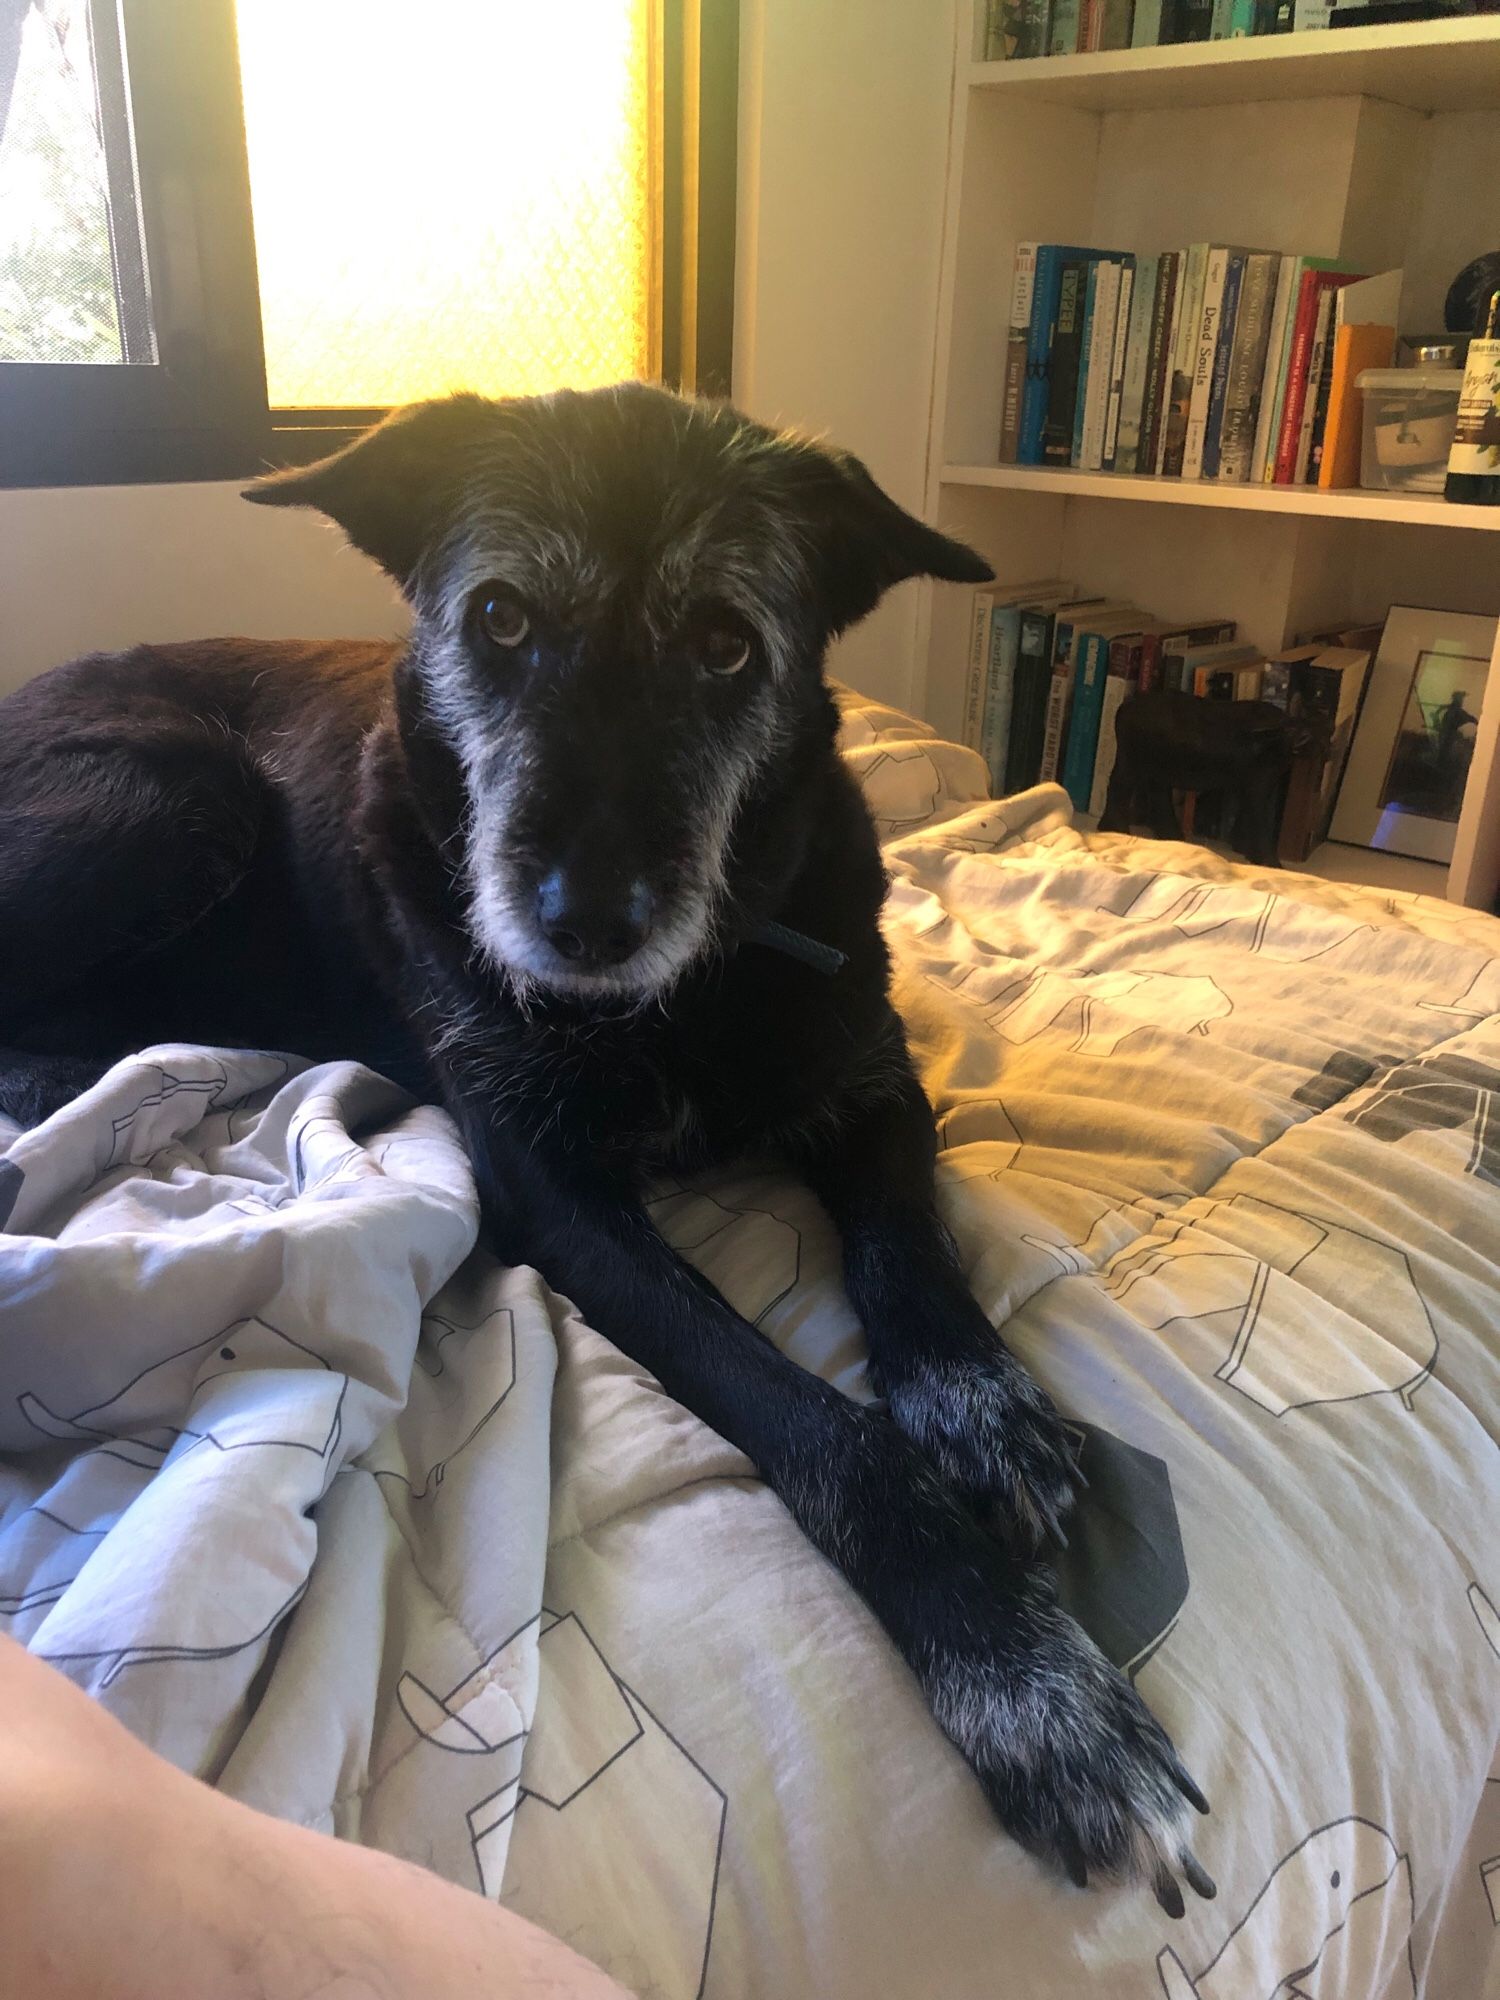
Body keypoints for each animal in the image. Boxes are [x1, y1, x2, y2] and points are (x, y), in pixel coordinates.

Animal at [0, 386, 1216, 1904]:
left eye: (726, 643)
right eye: (501, 617)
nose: (584, 921)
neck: (684, 995)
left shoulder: (875, 1084)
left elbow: (913, 1258)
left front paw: (983, 1409)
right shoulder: (560, 1199)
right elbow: (829, 1431)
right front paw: (1025, 1681)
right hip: (171, 794)